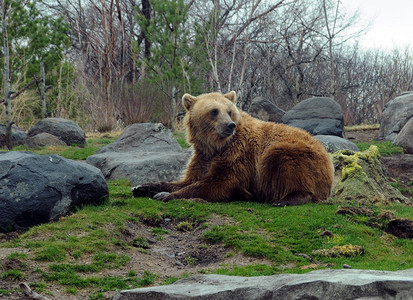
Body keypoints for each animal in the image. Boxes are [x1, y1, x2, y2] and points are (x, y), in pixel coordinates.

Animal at [132, 90, 334, 205]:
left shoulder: (238, 154)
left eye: (229, 111)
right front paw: (143, 187)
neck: (216, 146)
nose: (230, 125)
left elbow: (219, 182)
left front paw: (165, 196)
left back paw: (286, 199)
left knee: (282, 160)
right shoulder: (203, 157)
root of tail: (328, 158)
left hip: (298, 154)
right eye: (214, 111)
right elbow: (189, 179)